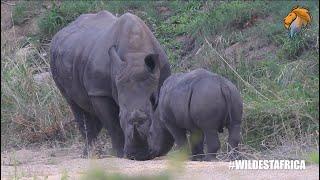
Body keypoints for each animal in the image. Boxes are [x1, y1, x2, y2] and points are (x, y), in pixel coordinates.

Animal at [50, 10, 170, 160]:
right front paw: (119, 155)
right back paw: (90, 155)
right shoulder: (100, 91)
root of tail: (59, 33)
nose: (139, 155)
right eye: (121, 116)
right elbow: (113, 124)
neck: (135, 53)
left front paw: (163, 150)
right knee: (73, 104)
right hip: (56, 60)